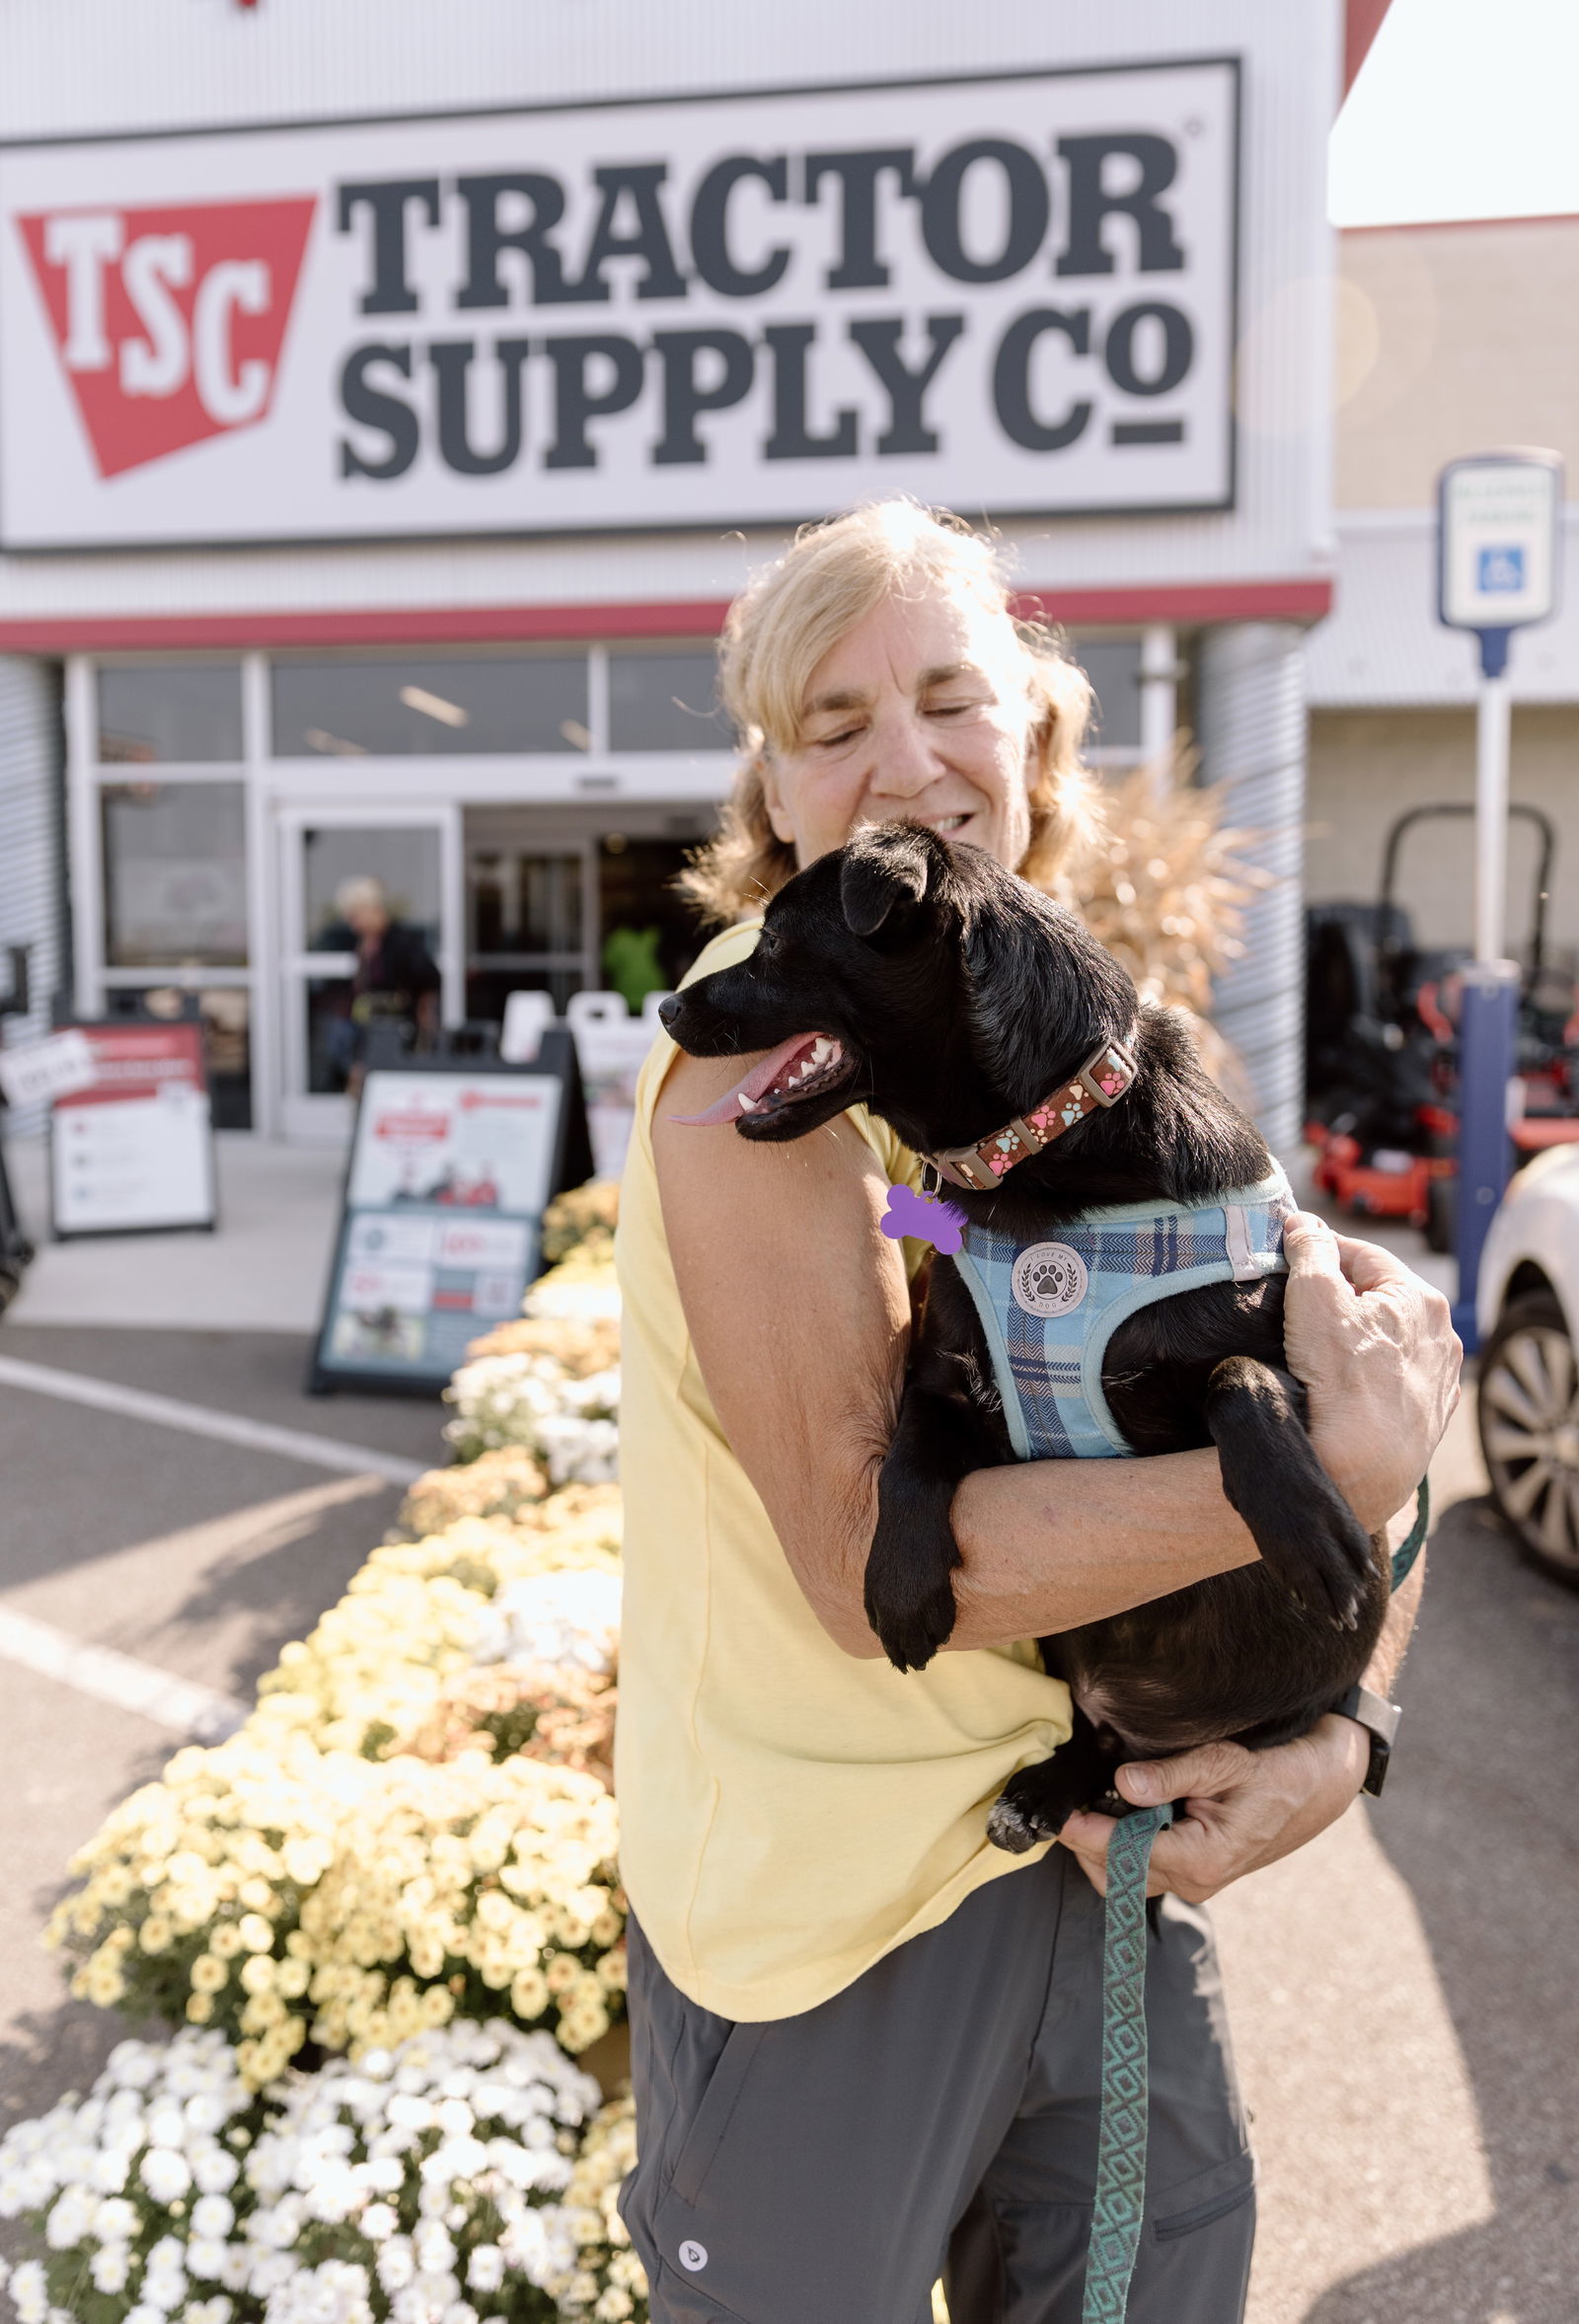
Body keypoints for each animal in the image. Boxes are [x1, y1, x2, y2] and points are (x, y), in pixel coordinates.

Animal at [660, 827, 1386, 1840]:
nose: (664, 1006)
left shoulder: (1295, 1345)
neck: (1042, 1148)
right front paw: (901, 1581)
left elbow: (1239, 1375)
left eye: (771, 946)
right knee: (1107, 1748)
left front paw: (1308, 1526)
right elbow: (909, 1453)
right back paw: (1044, 1790)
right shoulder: (951, 1380)